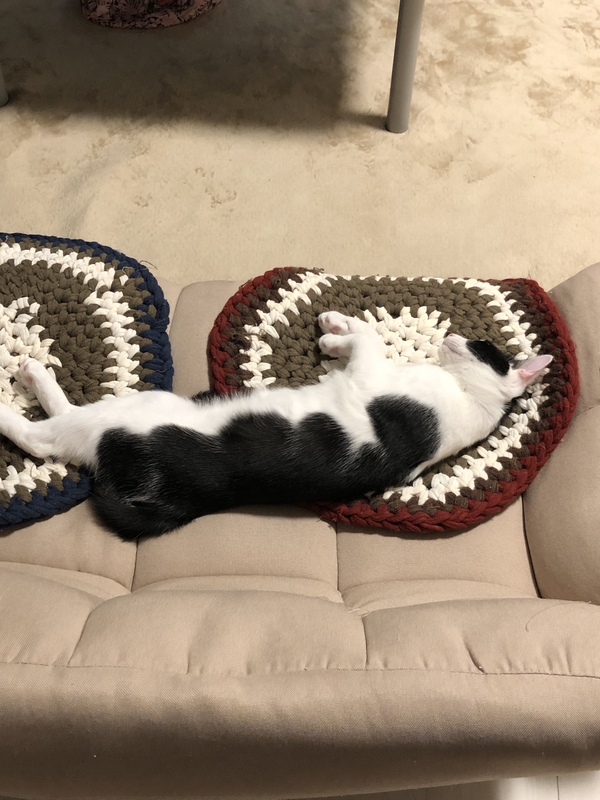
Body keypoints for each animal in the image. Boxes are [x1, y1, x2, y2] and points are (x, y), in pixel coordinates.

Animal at [0, 311, 552, 541]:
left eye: (482, 346)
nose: (454, 336)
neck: (473, 401)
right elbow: (364, 337)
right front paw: (333, 332)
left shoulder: (373, 375)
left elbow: (370, 338)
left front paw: (335, 330)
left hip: (131, 413)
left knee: (46, 435)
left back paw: (28, 383)